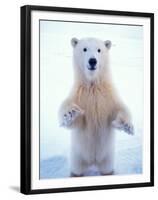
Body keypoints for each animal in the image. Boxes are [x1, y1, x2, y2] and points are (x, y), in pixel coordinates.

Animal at [58, 37, 134, 177]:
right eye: (84, 49)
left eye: (99, 50)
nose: (92, 61)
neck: (93, 85)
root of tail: (93, 162)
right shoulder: (79, 96)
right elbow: (74, 121)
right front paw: (70, 113)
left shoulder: (108, 97)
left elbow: (119, 109)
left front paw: (126, 125)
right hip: (77, 156)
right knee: (76, 170)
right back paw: (75, 174)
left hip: (107, 157)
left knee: (107, 169)